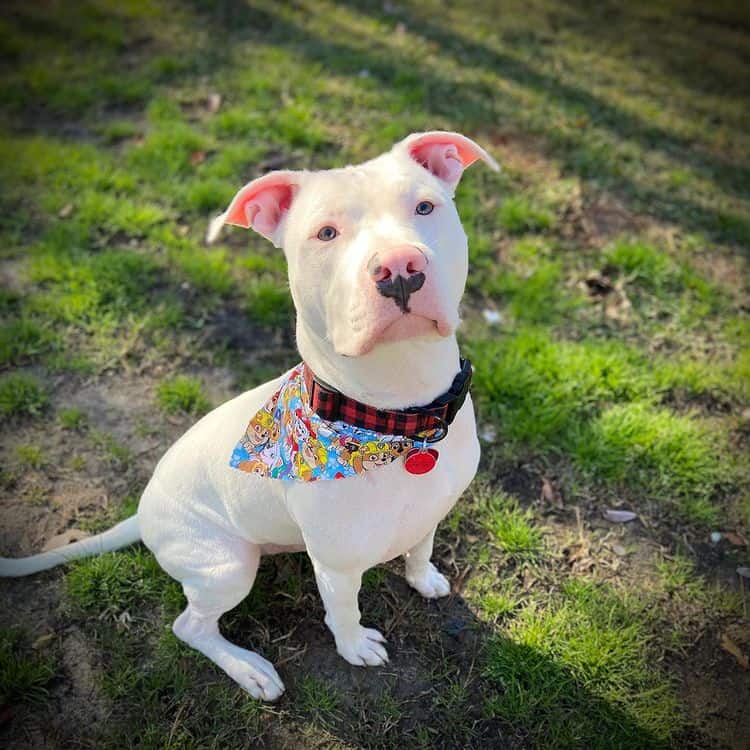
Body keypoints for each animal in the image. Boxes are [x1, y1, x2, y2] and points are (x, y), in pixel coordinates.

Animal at [5, 131, 502, 704]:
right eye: (325, 233)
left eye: (425, 207)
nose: (400, 267)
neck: (401, 419)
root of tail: (144, 509)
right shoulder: (335, 566)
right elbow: (343, 612)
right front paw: (355, 647)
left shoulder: (430, 513)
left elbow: (420, 550)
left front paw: (425, 579)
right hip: (226, 565)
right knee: (190, 626)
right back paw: (248, 668)